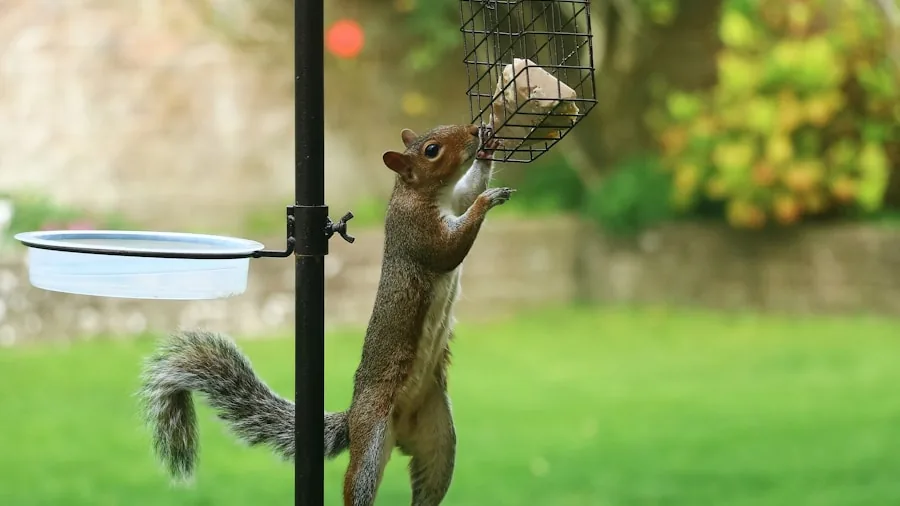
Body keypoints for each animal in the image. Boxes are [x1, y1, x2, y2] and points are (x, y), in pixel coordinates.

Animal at [138, 123, 512, 506]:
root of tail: (355, 420)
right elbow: (449, 249)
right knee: (356, 484)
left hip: (438, 438)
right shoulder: (418, 231)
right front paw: (488, 199)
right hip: (374, 436)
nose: (473, 131)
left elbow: (468, 191)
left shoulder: (455, 200)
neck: (426, 193)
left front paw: (489, 150)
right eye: (433, 150)